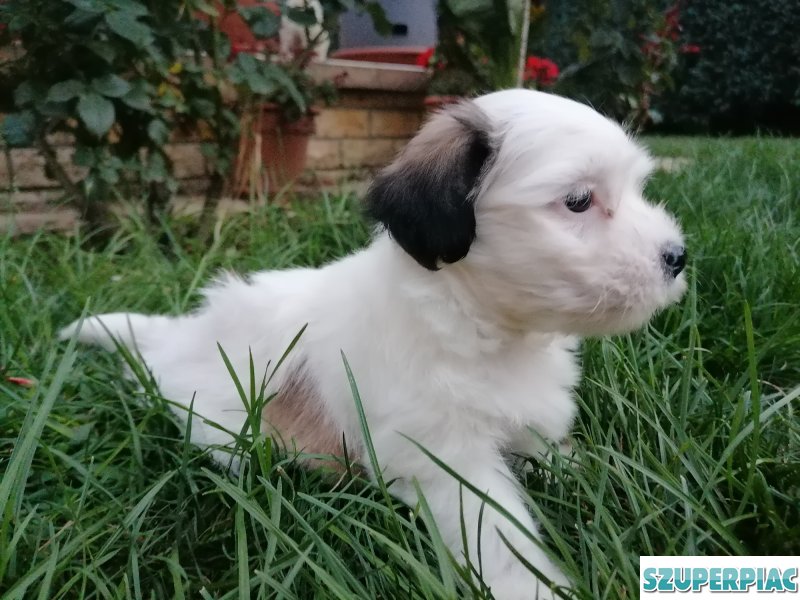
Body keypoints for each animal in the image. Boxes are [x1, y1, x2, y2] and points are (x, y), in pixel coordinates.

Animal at [62, 90, 688, 600]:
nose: (678, 256)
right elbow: (497, 533)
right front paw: (535, 590)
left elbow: (554, 456)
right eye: (579, 201)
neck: (476, 325)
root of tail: (178, 336)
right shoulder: (447, 461)